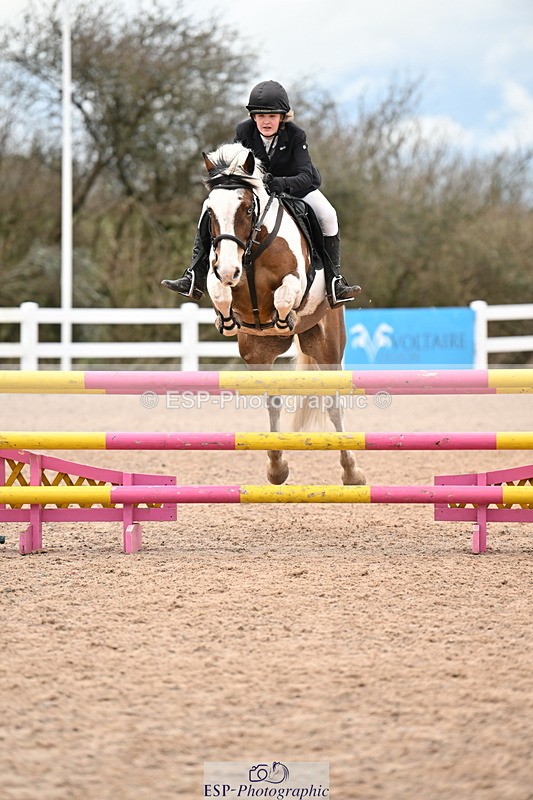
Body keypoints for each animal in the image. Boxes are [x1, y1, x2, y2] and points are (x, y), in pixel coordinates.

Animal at [201, 142, 365, 487]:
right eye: (210, 212)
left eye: (247, 209)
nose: (229, 269)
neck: (251, 247)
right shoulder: (216, 274)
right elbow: (219, 291)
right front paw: (227, 319)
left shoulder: (296, 279)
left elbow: (285, 294)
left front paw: (282, 317)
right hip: (257, 352)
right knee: (272, 400)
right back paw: (277, 467)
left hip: (327, 346)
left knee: (333, 403)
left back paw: (351, 471)